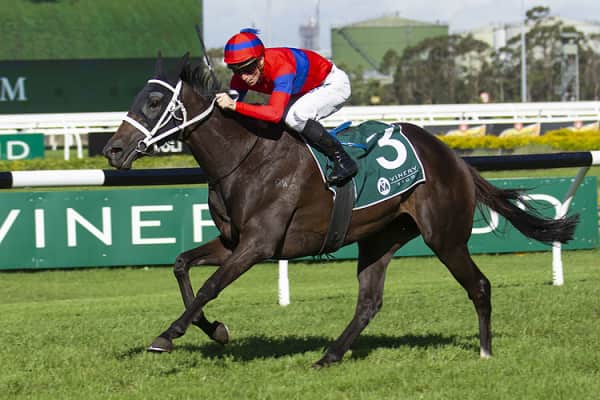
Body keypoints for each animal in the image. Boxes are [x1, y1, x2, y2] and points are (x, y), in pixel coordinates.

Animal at [103, 54, 578, 367]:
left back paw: (484, 351)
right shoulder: (232, 240)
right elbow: (182, 264)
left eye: (153, 103)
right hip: (381, 237)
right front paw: (214, 329)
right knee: (369, 302)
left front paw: (169, 335)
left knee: (479, 285)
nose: (113, 150)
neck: (245, 158)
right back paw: (328, 355)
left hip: (444, 237)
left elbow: (210, 286)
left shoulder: (258, 245)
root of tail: (455, 159)